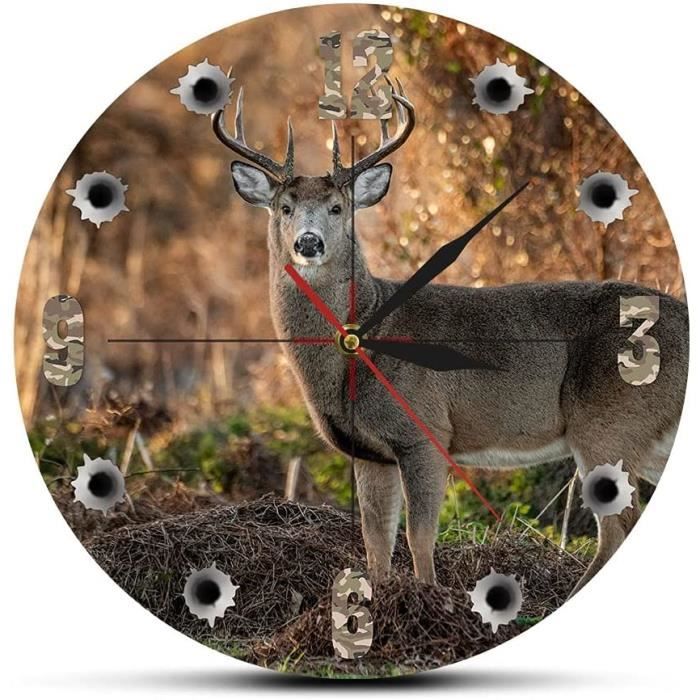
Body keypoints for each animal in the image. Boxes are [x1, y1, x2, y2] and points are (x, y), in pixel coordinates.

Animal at [211, 82, 689, 597]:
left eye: (339, 208)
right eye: (285, 207)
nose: (308, 242)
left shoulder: (425, 430)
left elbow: (419, 536)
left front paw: (430, 597)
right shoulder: (370, 451)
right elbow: (376, 540)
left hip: (608, 423)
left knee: (616, 528)